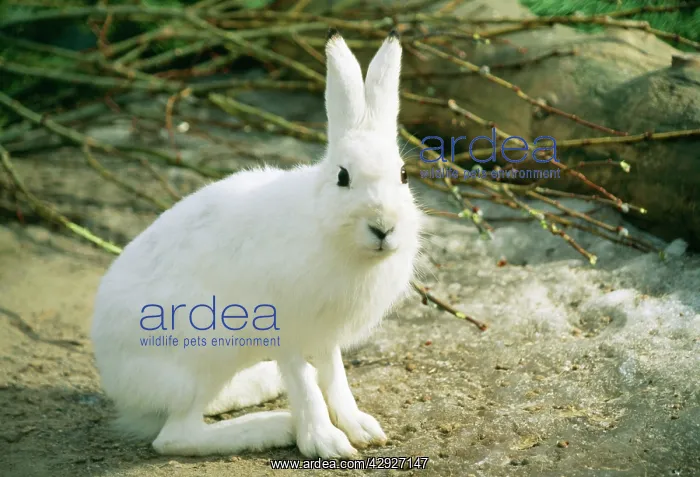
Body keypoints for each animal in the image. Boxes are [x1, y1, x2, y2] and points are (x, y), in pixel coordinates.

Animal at [90, 27, 423, 459]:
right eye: (343, 177)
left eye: (403, 175)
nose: (383, 227)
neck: (326, 227)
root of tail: (117, 382)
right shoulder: (287, 328)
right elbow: (306, 385)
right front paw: (327, 443)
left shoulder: (325, 334)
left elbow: (334, 376)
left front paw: (361, 428)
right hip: (209, 346)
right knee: (175, 435)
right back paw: (276, 426)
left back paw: (261, 385)